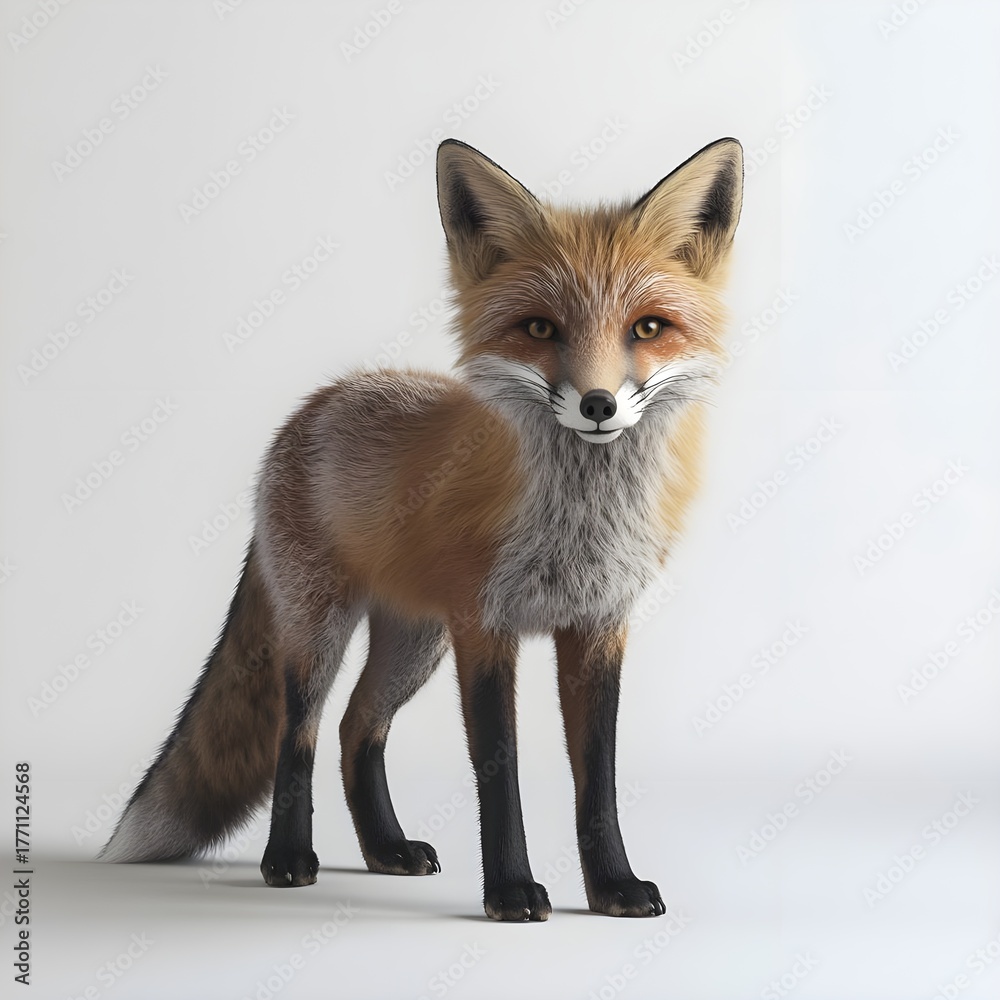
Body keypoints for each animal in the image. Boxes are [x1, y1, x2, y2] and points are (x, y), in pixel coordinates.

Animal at [102, 136, 743, 921]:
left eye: (647, 328)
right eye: (540, 329)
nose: (597, 404)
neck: (576, 523)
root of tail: (320, 400)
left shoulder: (597, 627)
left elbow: (600, 780)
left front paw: (613, 887)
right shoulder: (485, 627)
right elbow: (500, 775)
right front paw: (511, 891)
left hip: (414, 640)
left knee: (356, 727)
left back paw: (384, 850)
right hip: (322, 627)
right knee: (300, 730)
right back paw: (287, 860)